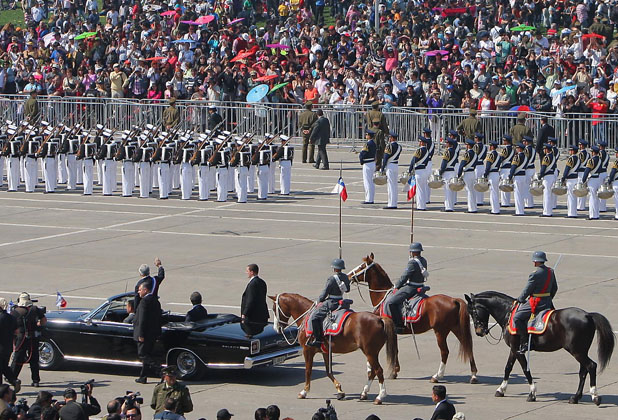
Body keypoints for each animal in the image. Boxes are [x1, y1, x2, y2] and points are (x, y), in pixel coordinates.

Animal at [346, 253, 476, 384]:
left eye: (361, 266)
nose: (348, 276)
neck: (383, 296)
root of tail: (453, 299)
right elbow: (396, 349)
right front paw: (395, 371)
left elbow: (393, 350)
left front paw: (393, 372)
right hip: (455, 328)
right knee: (468, 346)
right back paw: (473, 375)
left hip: (441, 332)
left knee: (445, 352)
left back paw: (437, 376)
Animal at [462, 290, 612, 406]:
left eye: (472, 311)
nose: (479, 332)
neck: (508, 313)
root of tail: (588, 315)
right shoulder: (514, 349)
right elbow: (508, 368)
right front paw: (501, 389)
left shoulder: (517, 349)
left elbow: (525, 369)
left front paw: (532, 393)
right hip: (580, 351)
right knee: (583, 371)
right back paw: (575, 397)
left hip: (577, 351)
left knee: (591, 366)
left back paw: (595, 396)